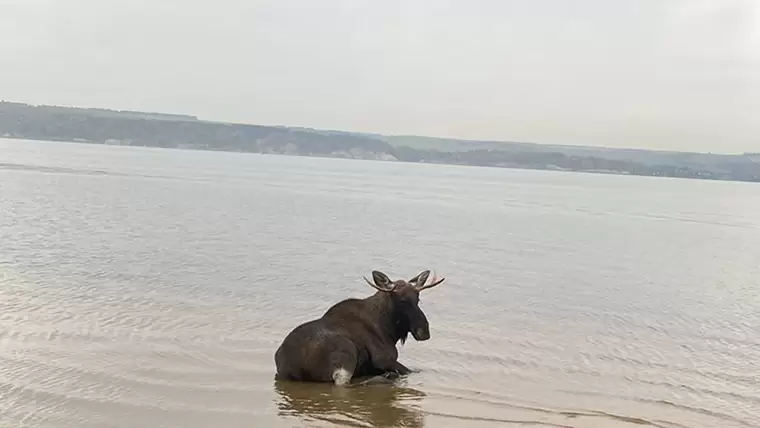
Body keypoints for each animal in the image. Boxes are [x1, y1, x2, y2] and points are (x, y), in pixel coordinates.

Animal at [274, 270, 446, 386]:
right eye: (403, 301)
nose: (424, 331)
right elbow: (410, 370)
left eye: (418, 298)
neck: (389, 331)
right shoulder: (384, 359)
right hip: (346, 355)